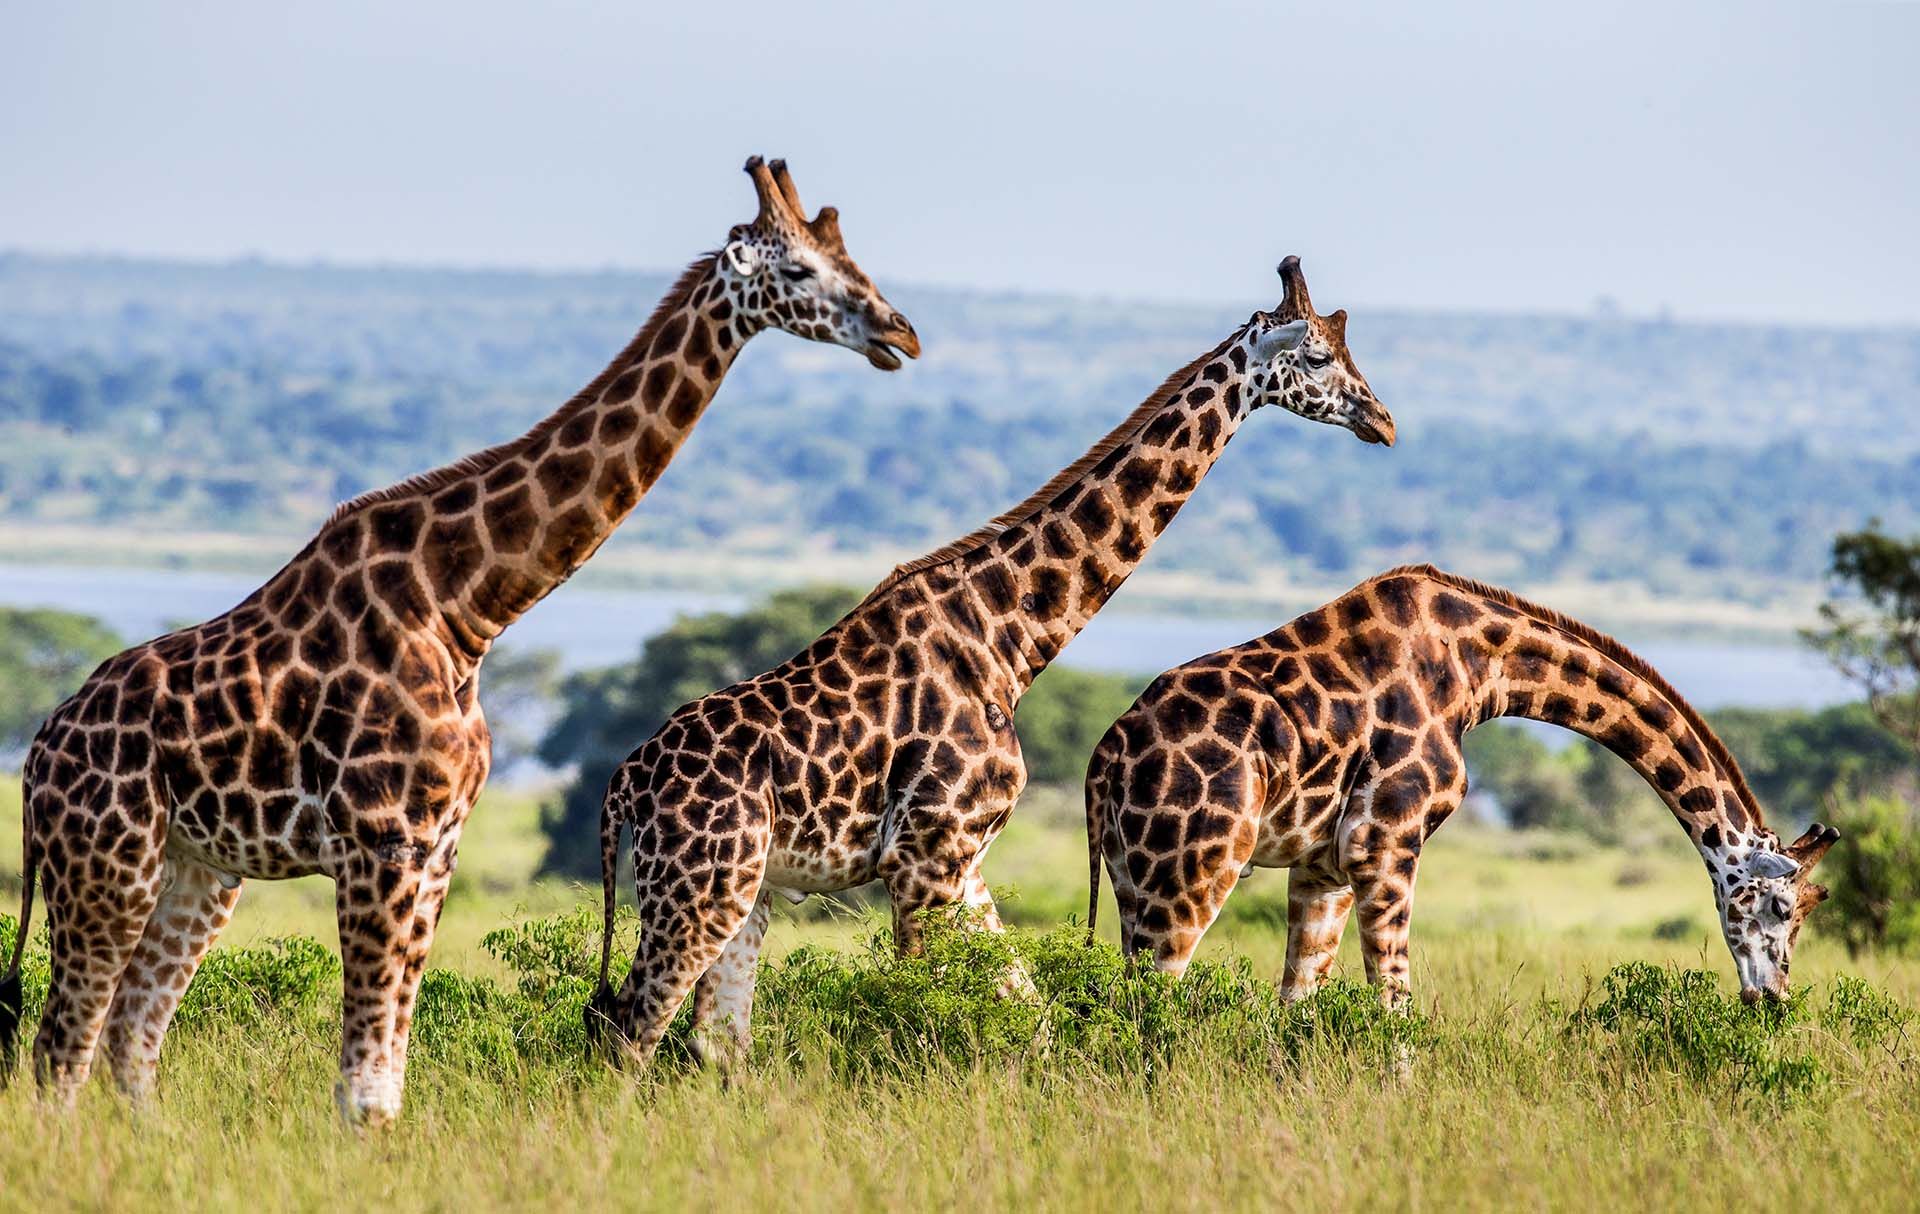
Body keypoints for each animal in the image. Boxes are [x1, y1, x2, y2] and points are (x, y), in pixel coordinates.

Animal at [0, 156, 921, 1121]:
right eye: (804, 272)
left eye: (852, 258)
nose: (901, 332)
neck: (465, 608)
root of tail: (36, 758)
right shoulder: (384, 841)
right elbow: (366, 1087)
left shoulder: (437, 848)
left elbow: (386, 1075)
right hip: (107, 862)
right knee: (62, 1050)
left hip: (197, 871)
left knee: (130, 1041)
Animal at [583, 259, 1397, 1068]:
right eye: (1317, 357)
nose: (1382, 421)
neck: (1009, 640)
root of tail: (622, 789)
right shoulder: (923, 858)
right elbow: (919, 1009)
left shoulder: (964, 861)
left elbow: (1030, 1014)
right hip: (698, 885)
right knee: (630, 1025)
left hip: (742, 890)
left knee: (713, 1038)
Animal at [1082, 568, 1843, 1006]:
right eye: (1782, 907)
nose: (1772, 998)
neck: (1479, 670)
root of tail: (1107, 756)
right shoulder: (1385, 846)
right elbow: (1394, 1003)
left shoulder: (1324, 867)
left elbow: (1297, 1003)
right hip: (1192, 873)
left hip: (1132, 878)